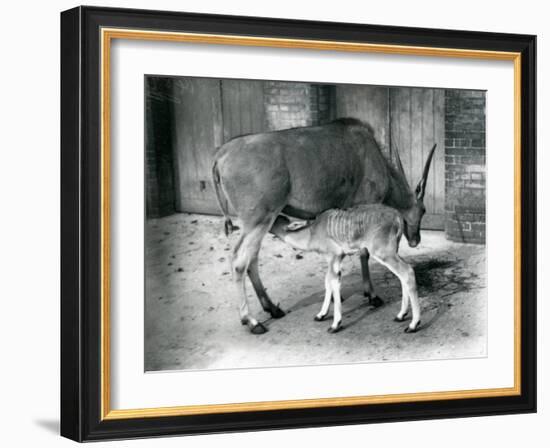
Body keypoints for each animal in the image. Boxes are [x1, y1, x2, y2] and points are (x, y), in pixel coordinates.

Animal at [272, 205, 422, 334]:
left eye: (273, 221)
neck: (312, 233)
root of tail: (397, 216)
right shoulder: (336, 259)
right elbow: (328, 282)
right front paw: (321, 315)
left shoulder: (334, 256)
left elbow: (333, 282)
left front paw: (335, 324)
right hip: (393, 252)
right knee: (403, 275)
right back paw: (401, 315)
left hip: (383, 253)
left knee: (407, 272)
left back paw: (413, 325)